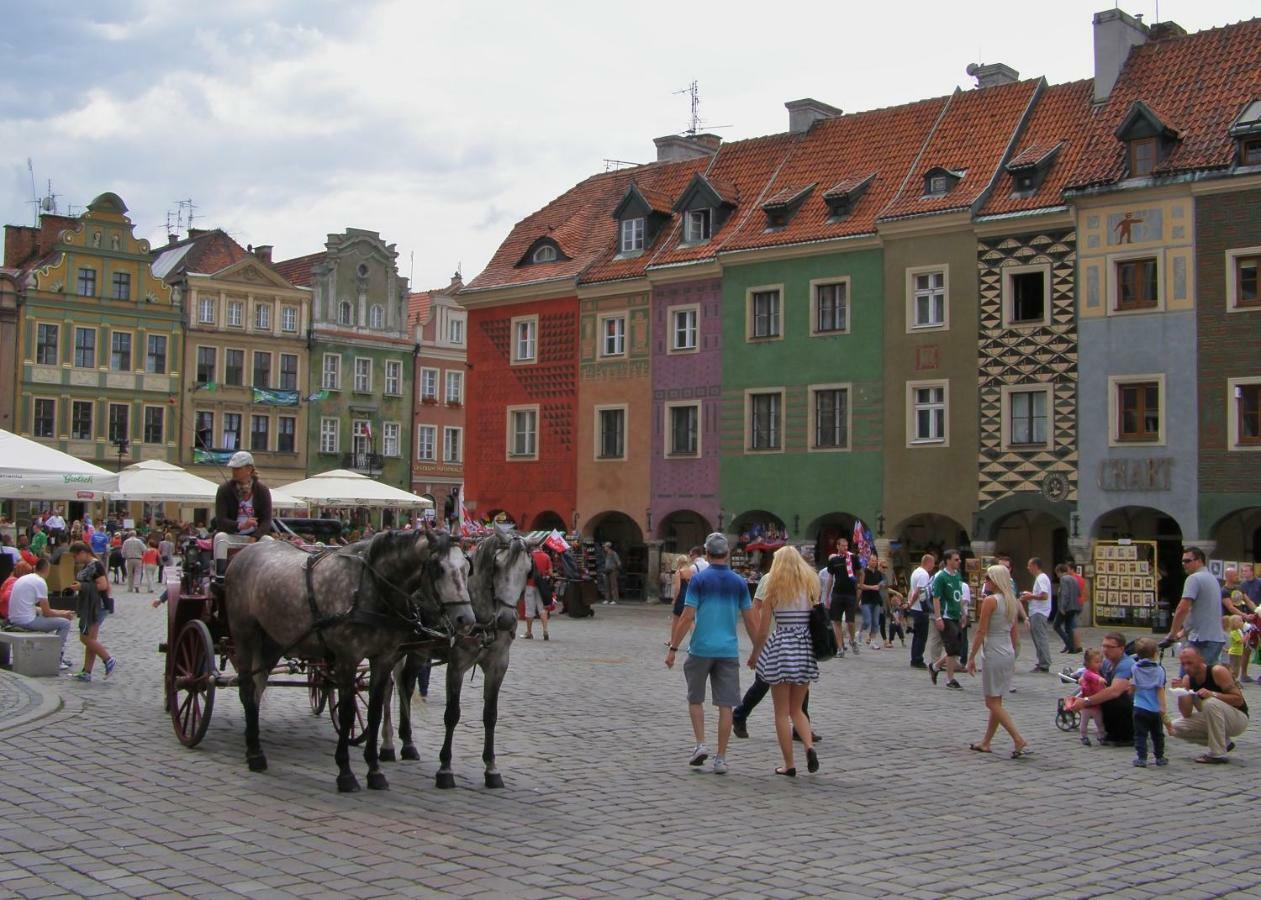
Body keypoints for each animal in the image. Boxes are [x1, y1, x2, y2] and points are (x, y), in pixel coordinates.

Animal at [224, 529, 474, 786]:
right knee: (247, 690)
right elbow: (346, 715)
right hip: (245, 637)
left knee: (257, 689)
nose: (466, 619)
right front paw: (345, 772)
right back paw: (255, 753)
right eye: (438, 568)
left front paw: (375, 771)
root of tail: (244, 553)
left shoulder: (383, 659)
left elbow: (374, 713)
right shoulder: (347, 659)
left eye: (467, 567)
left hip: (273, 641)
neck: (369, 588)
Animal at [375, 531, 529, 786]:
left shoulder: (498, 666)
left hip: (418, 652)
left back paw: (408, 743)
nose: (507, 619)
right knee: (388, 689)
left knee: (406, 685)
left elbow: (490, 715)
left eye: (528, 570)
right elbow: (452, 714)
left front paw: (491, 768)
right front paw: (445, 769)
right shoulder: (456, 666)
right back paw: (387, 745)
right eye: (497, 565)